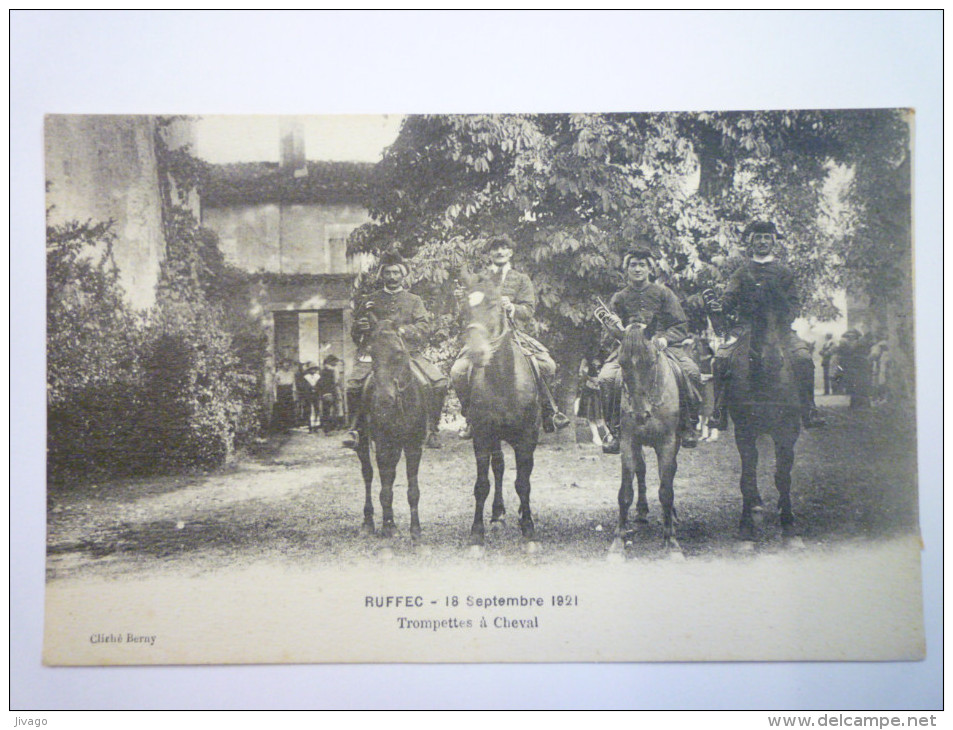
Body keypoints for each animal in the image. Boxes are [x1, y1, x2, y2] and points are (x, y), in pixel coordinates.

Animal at [356, 316, 426, 536]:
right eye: (372, 353)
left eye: (398, 352)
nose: (384, 400)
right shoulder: (383, 445)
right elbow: (385, 488)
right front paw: (388, 526)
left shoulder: (413, 446)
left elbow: (413, 490)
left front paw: (415, 529)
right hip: (364, 442)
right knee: (368, 475)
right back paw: (368, 521)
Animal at [458, 276, 540, 548]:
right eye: (464, 309)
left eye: (494, 305)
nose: (476, 352)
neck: (504, 380)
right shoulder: (483, 437)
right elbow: (482, 484)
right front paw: (477, 530)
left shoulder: (527, 438)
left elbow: (523, 483)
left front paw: (528, 527)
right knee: (499, 467)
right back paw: (497, 514)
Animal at [608, 322, 684, 556]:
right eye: (622, 363)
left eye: (651, 362)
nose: (640, 415)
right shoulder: (628, 441)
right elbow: (625, 492)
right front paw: (618, 541)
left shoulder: (667, 442)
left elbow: (666, 490)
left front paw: (671, 541)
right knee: (640, 469)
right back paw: (641, 510)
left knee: (669, 473)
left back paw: (672, 517)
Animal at [728, 306, 804, 544]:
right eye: (754, 311)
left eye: (783, 310)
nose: (772, 361)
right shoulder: (743, 432)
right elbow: (747, 477)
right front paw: (746, 525)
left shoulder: (787, 432)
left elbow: (783, 476)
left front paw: (788, 524)